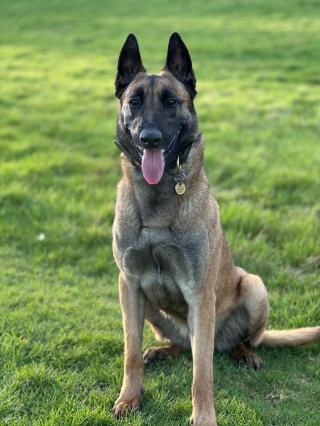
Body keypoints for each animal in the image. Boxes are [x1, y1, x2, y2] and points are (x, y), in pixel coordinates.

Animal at [110, 31, 320, 424]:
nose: (149, 138)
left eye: (171, 101)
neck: (158, 198)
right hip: (153, 309)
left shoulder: (199, 293)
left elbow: (202, 374)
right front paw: (130, 398)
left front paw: (204, 417)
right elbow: (130, 353)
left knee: (232, 344)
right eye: (134, 102)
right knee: (184, 346)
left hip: (253, 286)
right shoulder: (128, 285)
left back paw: (244, 353)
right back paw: (163, 350)